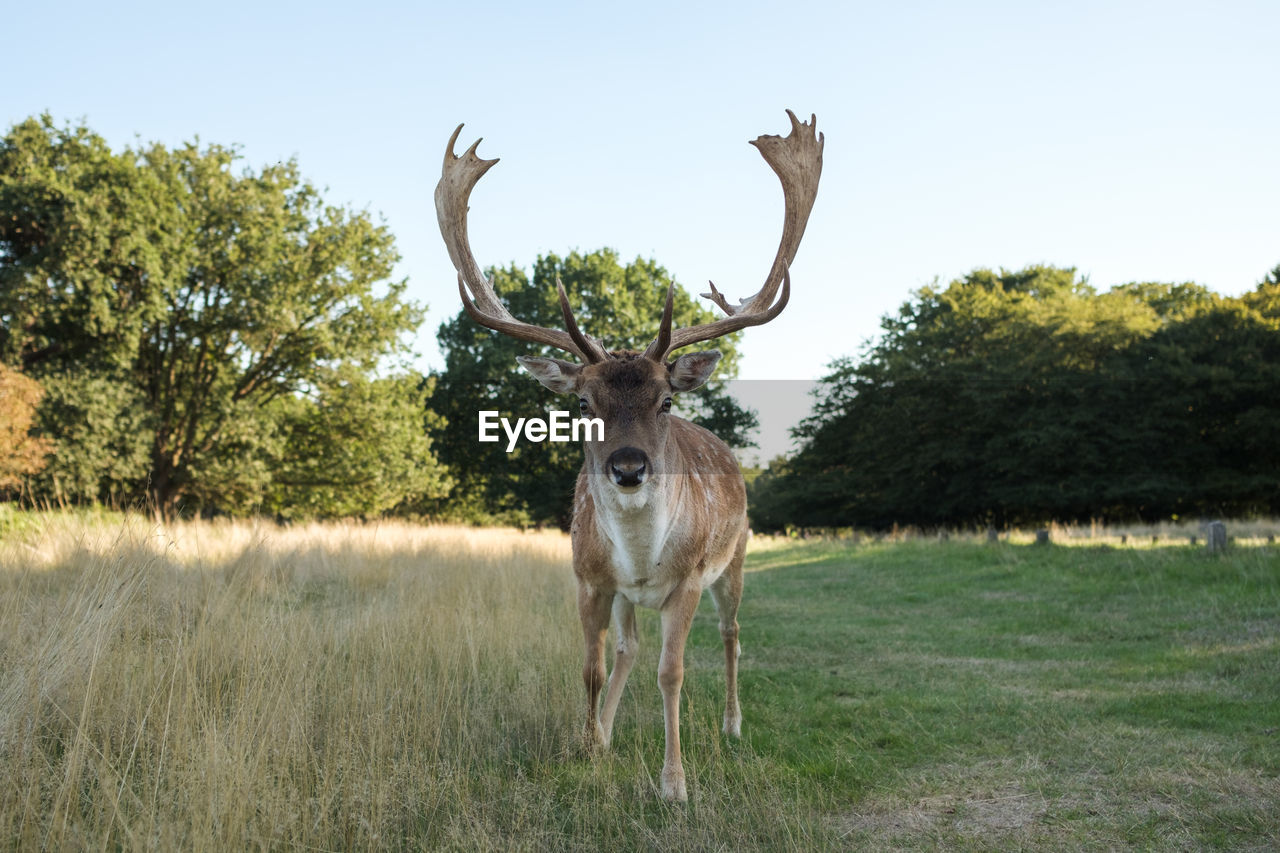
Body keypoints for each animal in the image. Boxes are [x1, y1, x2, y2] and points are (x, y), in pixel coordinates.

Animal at [435, 109, 824, 799]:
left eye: (665, 399)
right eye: (583, 402)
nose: (628, 467)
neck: (643, 561)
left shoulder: (689, 580)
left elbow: (673, 674)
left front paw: (674, 784)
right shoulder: (589, 579)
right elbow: (592, 668)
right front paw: (589, 745)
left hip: (738, 556)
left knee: (732, 634)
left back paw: (732, 725)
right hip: (630, 595)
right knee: (628, 650)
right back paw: (609, 733)